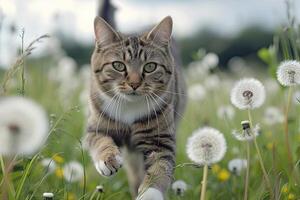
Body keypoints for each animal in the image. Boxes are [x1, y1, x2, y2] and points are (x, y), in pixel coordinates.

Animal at [84, 16, 186, 200]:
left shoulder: (160, 141)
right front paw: (107, 159)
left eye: (150, 66)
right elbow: (100, 141)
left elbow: (159, 168)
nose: (134, 83)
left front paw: (150, 193)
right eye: (118, 65)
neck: (129, 107)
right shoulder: (95, 128)